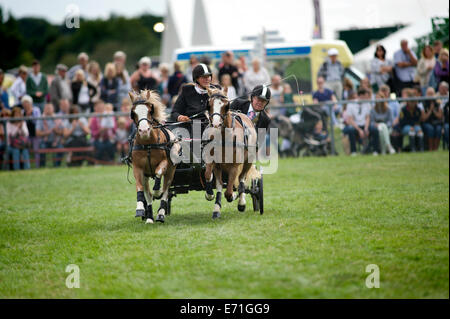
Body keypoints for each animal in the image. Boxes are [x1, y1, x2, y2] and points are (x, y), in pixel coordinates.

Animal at [128, 90, 179, 225]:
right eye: (133, 113)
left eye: (150, 111)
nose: (144, 130)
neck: (148, 145)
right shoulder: (137, 168)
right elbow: (139, 187)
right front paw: (140, 209)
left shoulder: (164, 163)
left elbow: (158, 173)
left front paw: (157, 191)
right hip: (146, 176)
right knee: (148, 194)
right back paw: (150, 217)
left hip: (171, 172)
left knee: (166, 191)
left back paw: (160, 214)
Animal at [205, 86, 260, 219]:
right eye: (208, 105)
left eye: (226, 105)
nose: (216, 124)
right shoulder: (215, 164)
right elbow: (210, 177)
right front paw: (213, 201)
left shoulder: (235, 166)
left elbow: (229, 192)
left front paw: (235, 196)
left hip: (248, 162)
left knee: (241, 179)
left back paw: (241, 202)